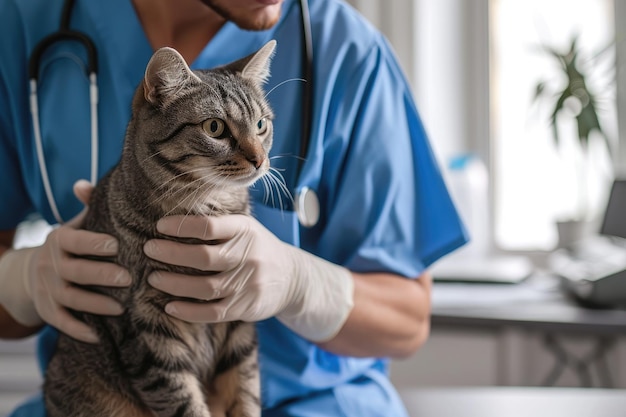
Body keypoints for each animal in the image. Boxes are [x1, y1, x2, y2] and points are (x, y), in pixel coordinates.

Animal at [42, 39, 276, 416]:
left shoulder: (238, 319)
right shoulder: (147, 333)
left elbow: (245, 393)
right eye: (215, 128)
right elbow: (183, 402)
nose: (260, 159)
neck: (206, 211)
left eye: (260, 124)